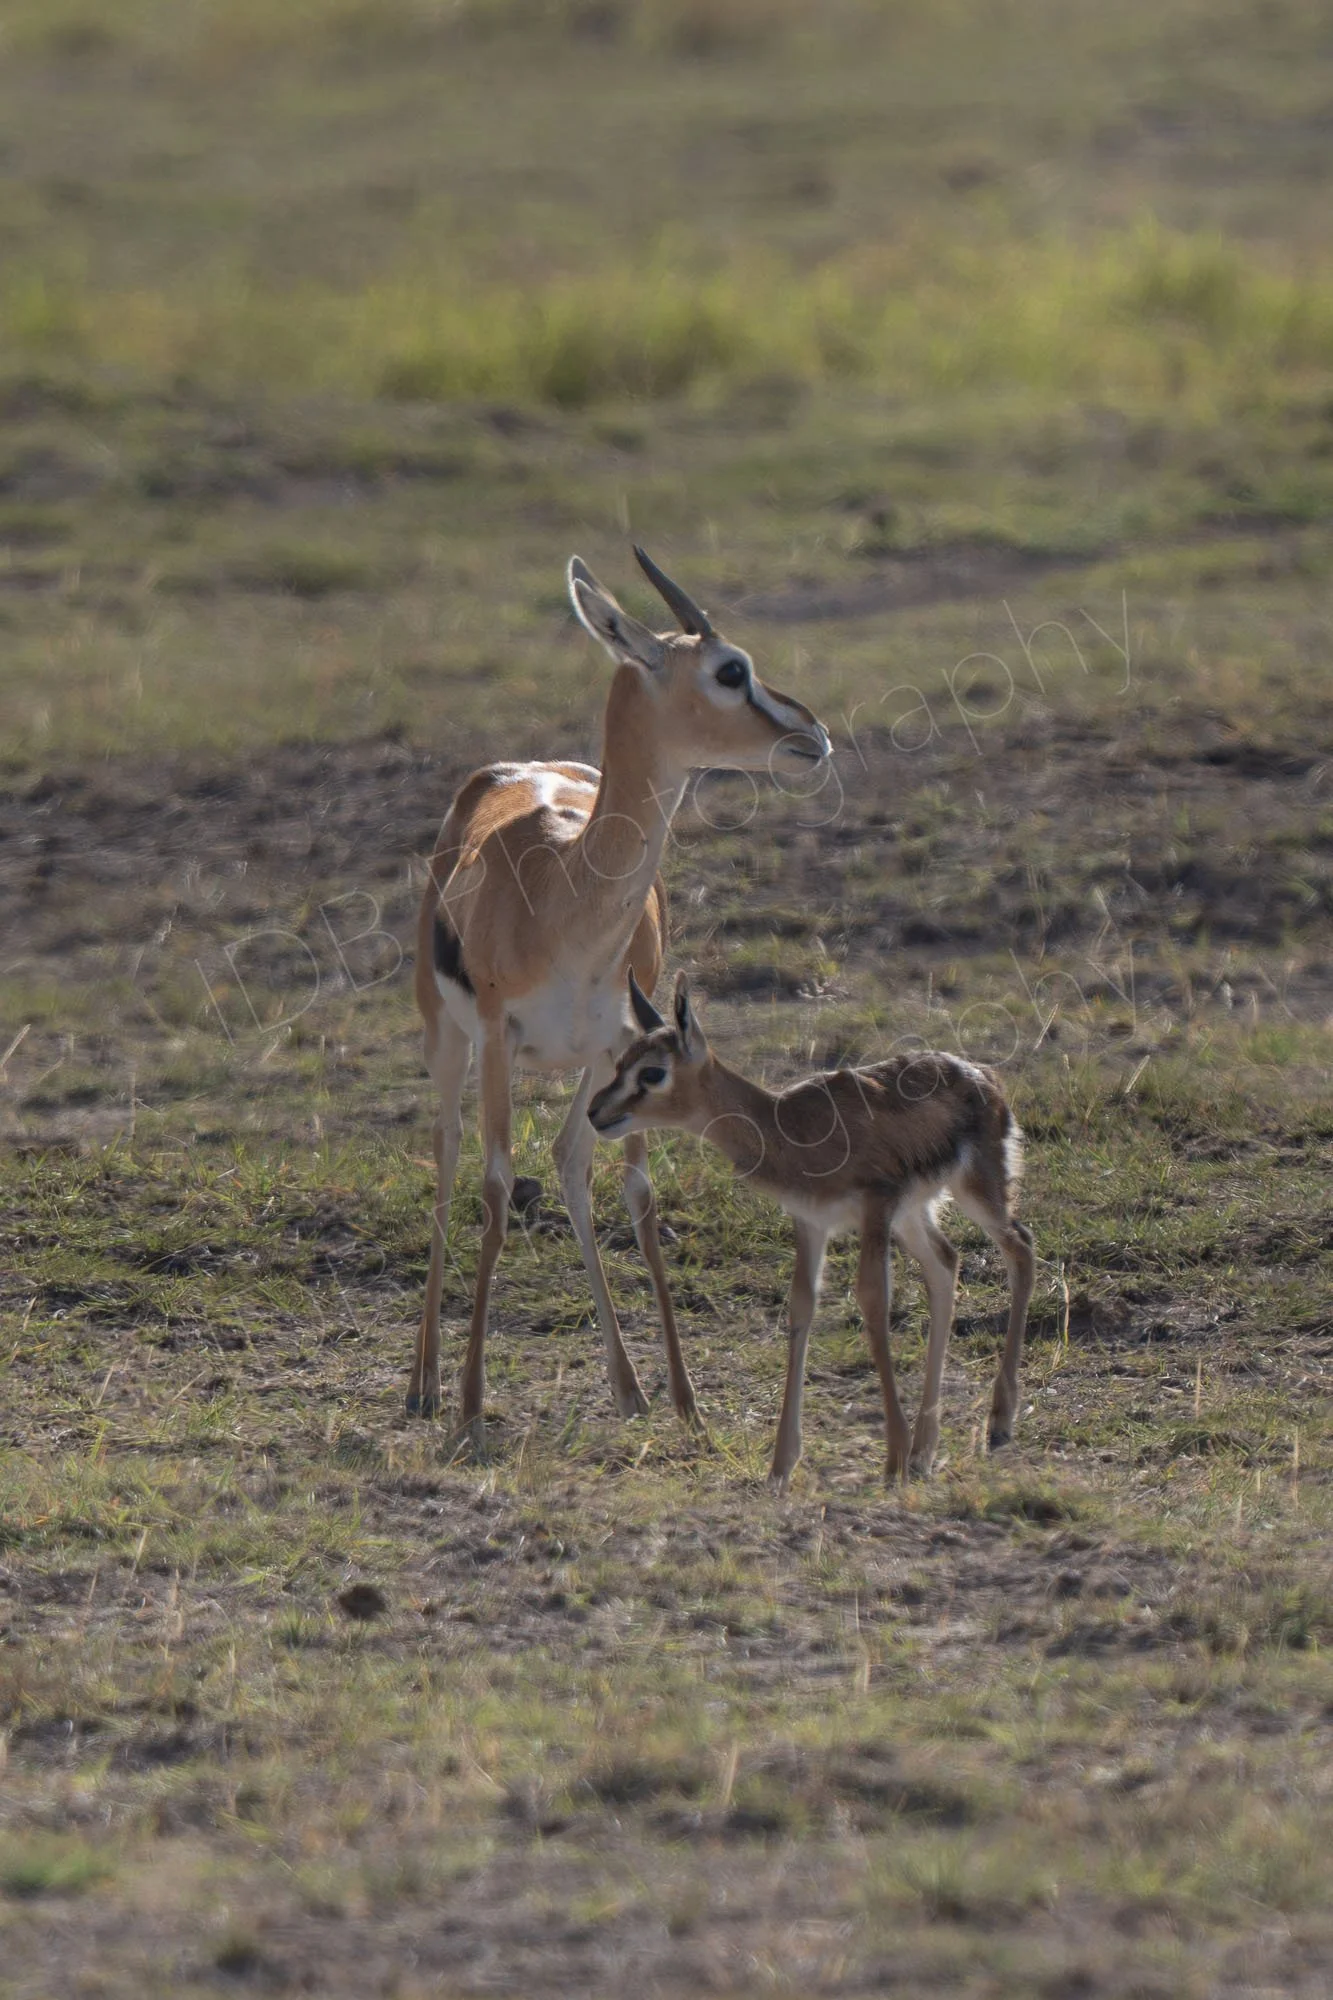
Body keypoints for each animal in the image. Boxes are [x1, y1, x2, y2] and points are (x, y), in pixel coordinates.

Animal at [409, 548, 832, 1439]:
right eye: (730, 669)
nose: (811, 735)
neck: (566, 893)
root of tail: (514, 768)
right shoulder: (497, 1035)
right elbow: (494, 1186)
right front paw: (470, 1404)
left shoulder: (625, 1044)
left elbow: (635, 1192)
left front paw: (682, 1395)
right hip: (449, 1042)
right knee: (450, 1152)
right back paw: (423, 1383)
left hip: (578, 1064)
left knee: (570, 1158)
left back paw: (628, 1386)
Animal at [588, 974, 1037, 1489]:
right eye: (621, 1061)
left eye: (652, 1073)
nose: (595, 1112)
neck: (788, 1129)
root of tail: (984, 1075)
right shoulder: (811, 1221)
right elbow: (801, 1307)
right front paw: (781, 1465)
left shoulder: (875, 1208)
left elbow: (872, 1301)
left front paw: (892, 1458)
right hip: (915, 1214)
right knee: (947, 1264)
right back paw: (926, 1450)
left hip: (976, 1191)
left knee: (1021, 1249)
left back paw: (997, 1422)